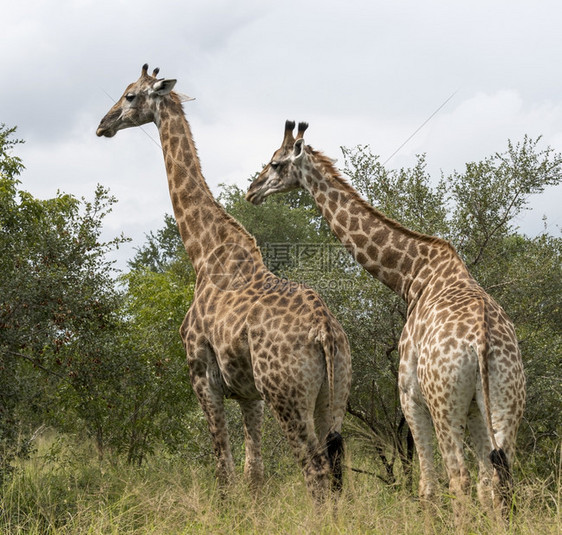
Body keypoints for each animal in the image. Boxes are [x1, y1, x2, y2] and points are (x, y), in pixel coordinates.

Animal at [96, 68, 350, 502]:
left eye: (129, 97)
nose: (103, 125)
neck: (203, 251)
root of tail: (325, 331)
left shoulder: (202, 376)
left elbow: (224, 472)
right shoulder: (250, 395)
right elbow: (254, 474)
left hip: (288, 396)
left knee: (315, 471)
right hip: (333, 398)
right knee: (335, 473)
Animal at [245, 120, 524, 520]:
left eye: (276, 163)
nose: (252, 191)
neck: (411, 277)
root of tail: (484, 342)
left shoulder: (409, 394)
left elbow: (428, 488)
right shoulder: (473, 407)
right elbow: (487, 484)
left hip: (443, 402)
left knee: (460, 480)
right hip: (506, 399)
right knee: (501, 479)